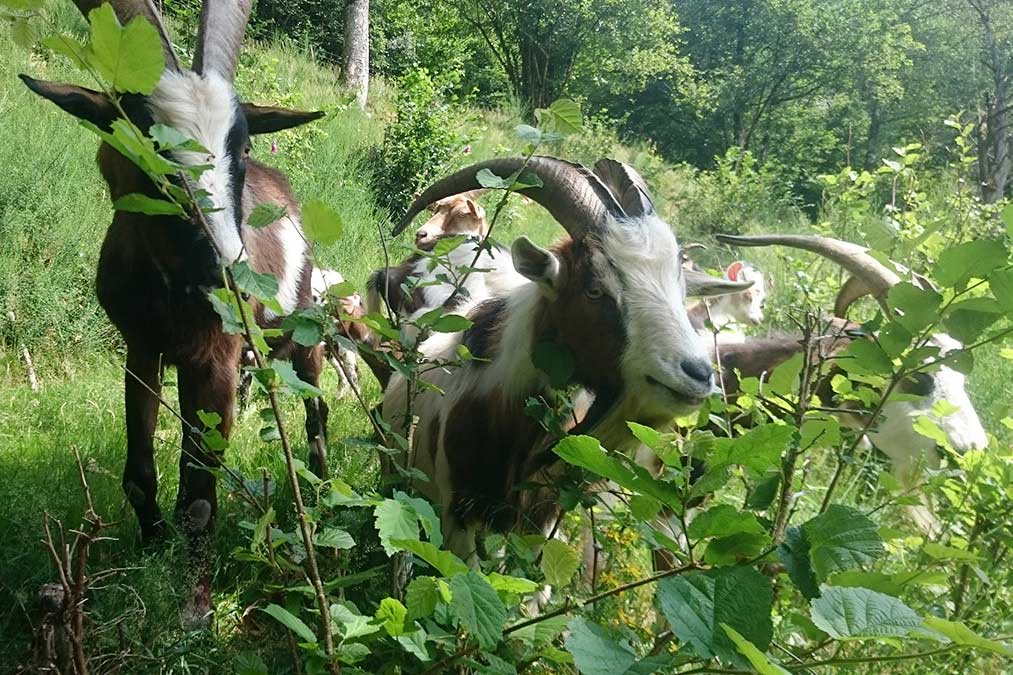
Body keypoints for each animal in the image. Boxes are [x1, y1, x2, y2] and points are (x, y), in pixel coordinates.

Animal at [22, 0, 326, 617]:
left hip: (301, 333)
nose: (228, 274)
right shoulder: (141, 348)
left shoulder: (218, 357)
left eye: (241, 146)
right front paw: (152, 548)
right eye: (142, 141)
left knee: (316, 412)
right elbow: (140, 472)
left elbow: (201, 494)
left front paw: (196, 608)